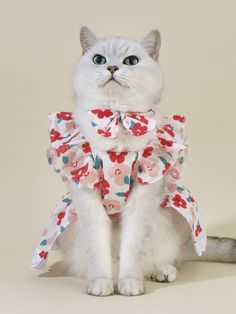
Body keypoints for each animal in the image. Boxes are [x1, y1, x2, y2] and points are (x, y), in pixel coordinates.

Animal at [42, 26, 236, 294]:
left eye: (131, 61)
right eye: (99, 59)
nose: (112, 68)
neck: (116, 117)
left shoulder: (144, 196)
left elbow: (133, 249)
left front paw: (130, 284)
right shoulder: (87, 197)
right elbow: (98, 249)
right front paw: (101, 283)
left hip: (168, 218)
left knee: (163, 257)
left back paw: (161, 271)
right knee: (98, 260)